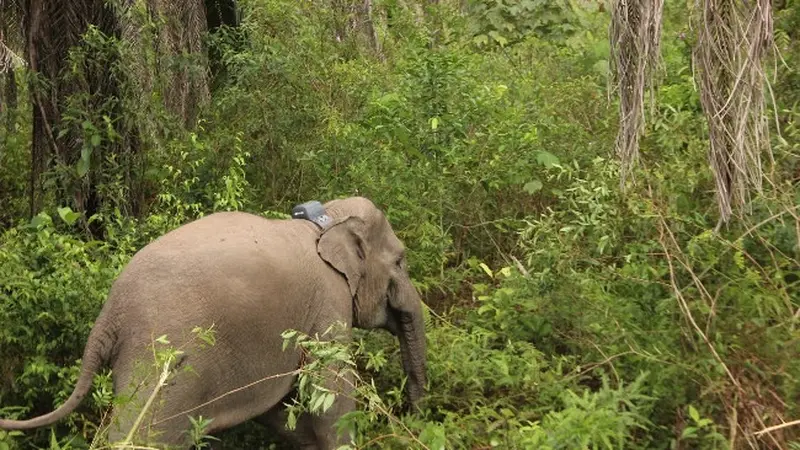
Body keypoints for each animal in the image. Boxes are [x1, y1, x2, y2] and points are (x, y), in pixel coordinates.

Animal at [0, 197, 428, 450]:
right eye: (401, 261)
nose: (412, 414)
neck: (326, 218)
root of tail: (110, 313)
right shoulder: (328, 301)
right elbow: (330, 391)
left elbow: (283, 410)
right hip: (161, 359)